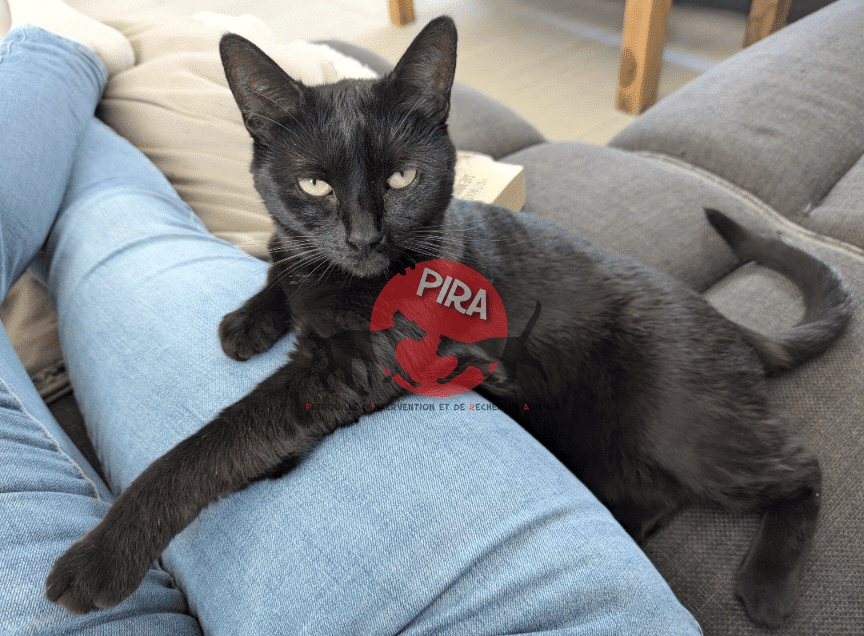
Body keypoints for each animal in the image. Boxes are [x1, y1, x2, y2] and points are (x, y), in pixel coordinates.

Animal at [46, 17, 854, 629]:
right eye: (315, 183)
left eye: (402, 177)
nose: (364, 236)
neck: (352, 282)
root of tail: (725, 320)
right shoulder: (307, 269)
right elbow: (283, 263)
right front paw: (249, 320)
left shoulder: (359, 366)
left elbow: (224, 438)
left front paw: (104, 553)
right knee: (659, 493)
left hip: (686, 429)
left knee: (801, 469)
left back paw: (768, 586)